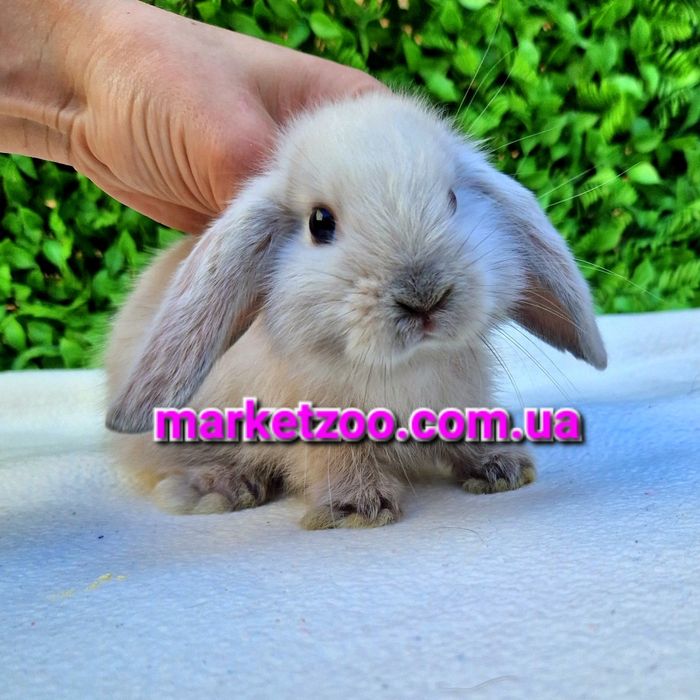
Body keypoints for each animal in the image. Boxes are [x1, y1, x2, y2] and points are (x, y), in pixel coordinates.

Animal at [104, 91, 607, 529]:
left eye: (452, 199)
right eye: (319, 223)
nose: (424, 296)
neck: (403, 366)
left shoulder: (461, 397)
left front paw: (501, 468)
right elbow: (337, 460)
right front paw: (360, 508)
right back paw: (217, 488)